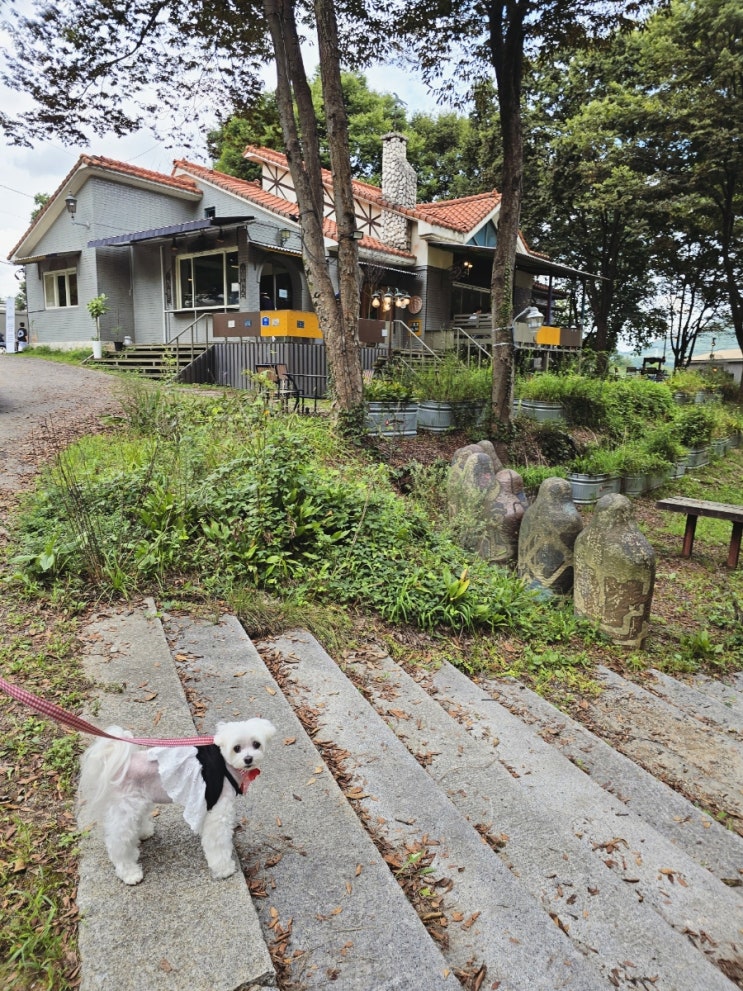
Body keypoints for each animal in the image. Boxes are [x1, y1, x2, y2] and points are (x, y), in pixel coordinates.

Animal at [79, 718, 276, 885]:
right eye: (236, 748)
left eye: (256, 744)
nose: (248, 759)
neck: (226, 765)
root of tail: (120, 765)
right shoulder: (218, 811)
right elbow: (218, 843)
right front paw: (224, 869)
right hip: (126, 809)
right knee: (117, 843)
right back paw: (129, 873)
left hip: (140, 801)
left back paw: (144, 833)